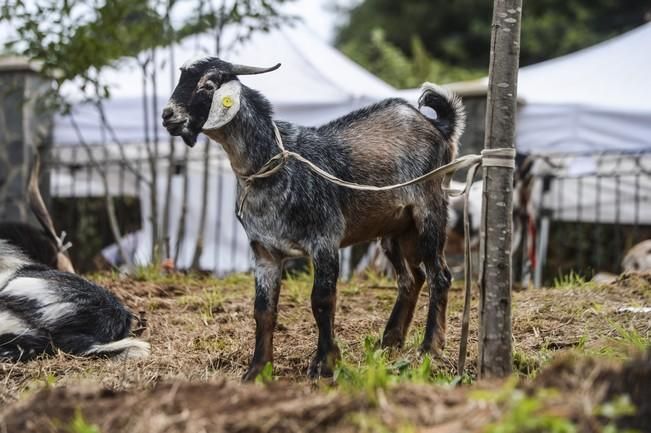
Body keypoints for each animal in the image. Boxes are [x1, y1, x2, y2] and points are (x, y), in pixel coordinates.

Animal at [162, 57, 464, 378]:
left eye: (207, 85)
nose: (167, 115)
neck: (274, 163)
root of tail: (437, 125)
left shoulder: (324, 239)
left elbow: (321, 300)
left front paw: (324, 363)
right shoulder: (264, 251)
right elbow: (263, 310)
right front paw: (257, 369)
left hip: (429, 211)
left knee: (439, 276)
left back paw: (429, 348)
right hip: (395, 228)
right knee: (411, 277)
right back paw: (389, 342)